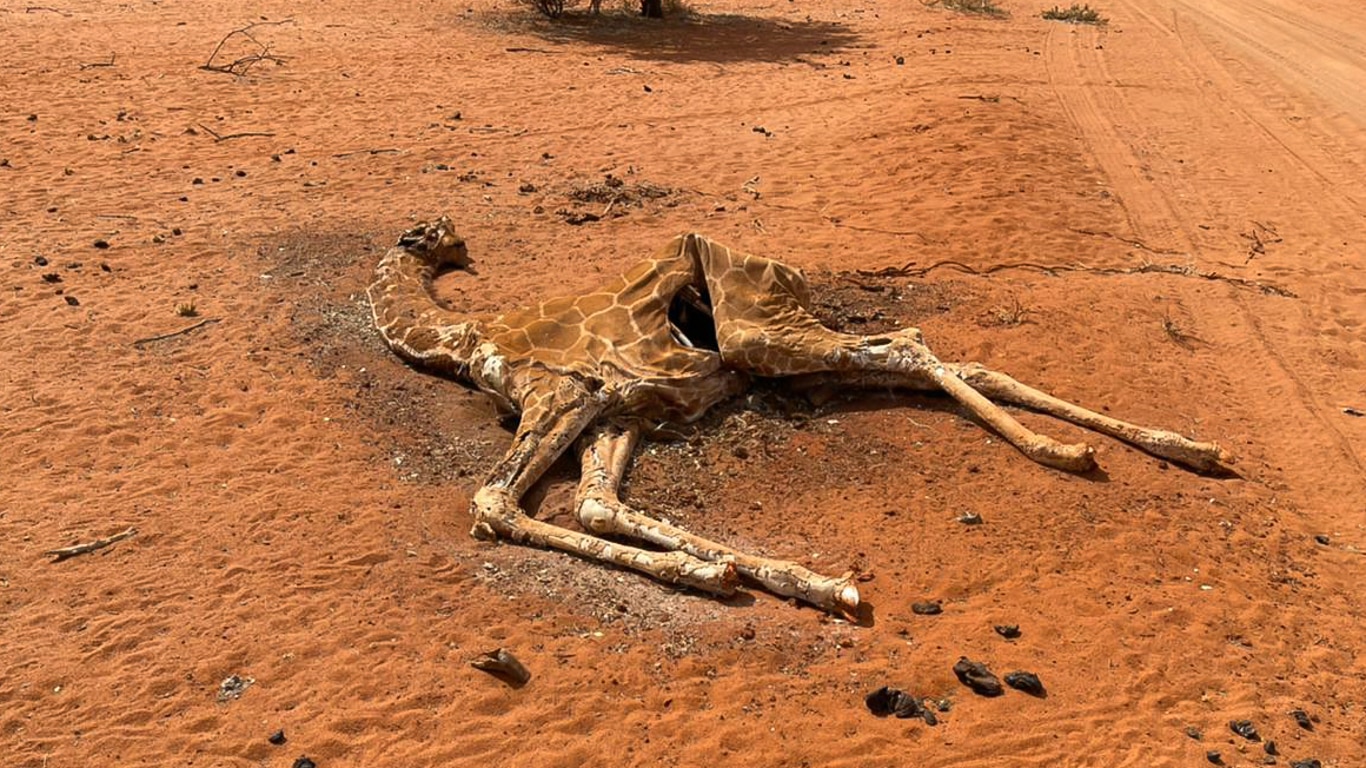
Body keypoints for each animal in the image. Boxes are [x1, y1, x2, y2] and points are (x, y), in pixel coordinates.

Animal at [368, 217, 1234, 614]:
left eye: (441, 235)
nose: (458, 248)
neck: (456, 339)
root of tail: (782, 269)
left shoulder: (564, 396)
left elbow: (496, 503)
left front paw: (765, 577)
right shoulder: (623, 408)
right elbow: (598, 508)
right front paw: (782, 579)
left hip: (760, 334)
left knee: (908, 346)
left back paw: (1065, 452)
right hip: (775, 348)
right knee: (937, 358)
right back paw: (1180, 448)